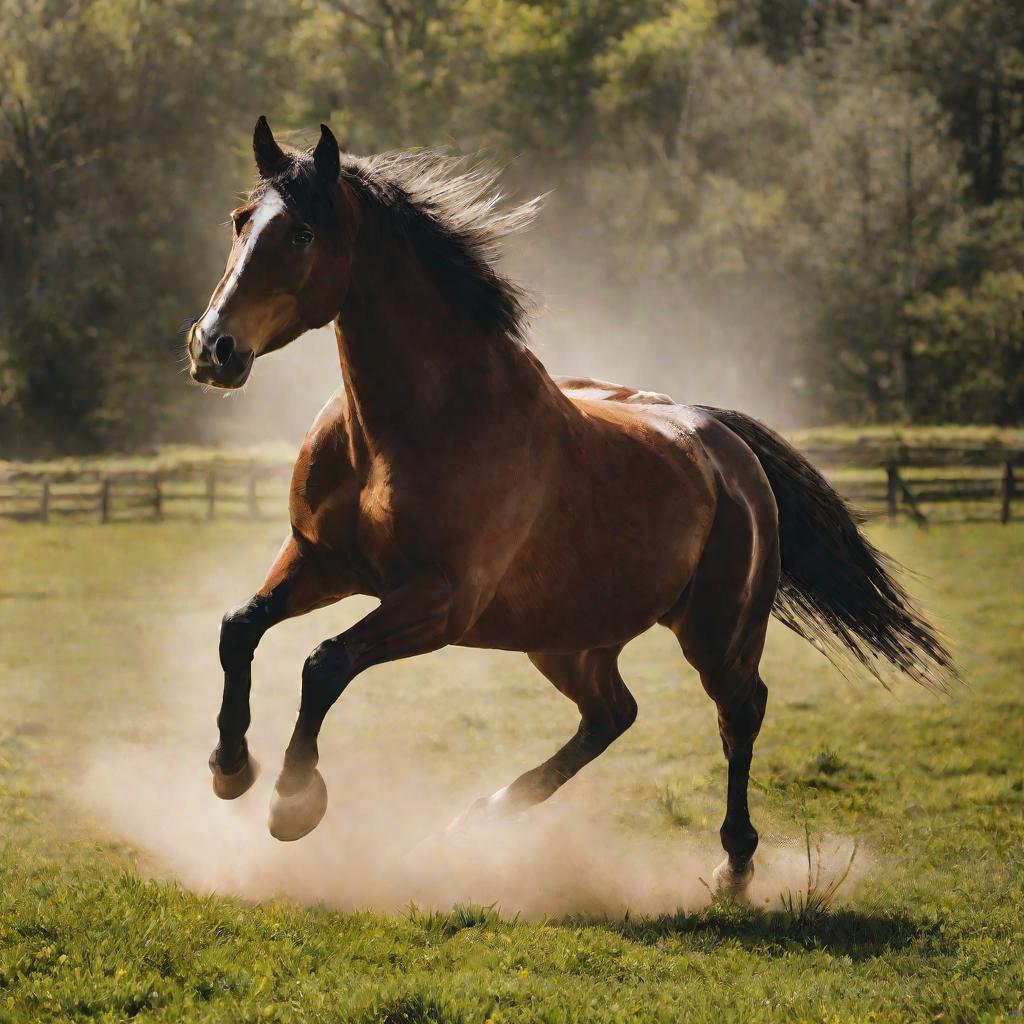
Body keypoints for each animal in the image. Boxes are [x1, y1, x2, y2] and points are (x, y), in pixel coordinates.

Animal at [182, 116, 950, 892]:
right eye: (241, 221)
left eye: (302, 233)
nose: (213, 348)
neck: (413, 424)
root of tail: (720, 439)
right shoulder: (321, 560)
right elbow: (238, 627)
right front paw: (229, 767)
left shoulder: (440, 601)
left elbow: (325, 663)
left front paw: (292, 802)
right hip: (568, 638)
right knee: (612, 715)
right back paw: (469, 825)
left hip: (715, 632)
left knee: (739, 713)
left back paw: (734, 864)